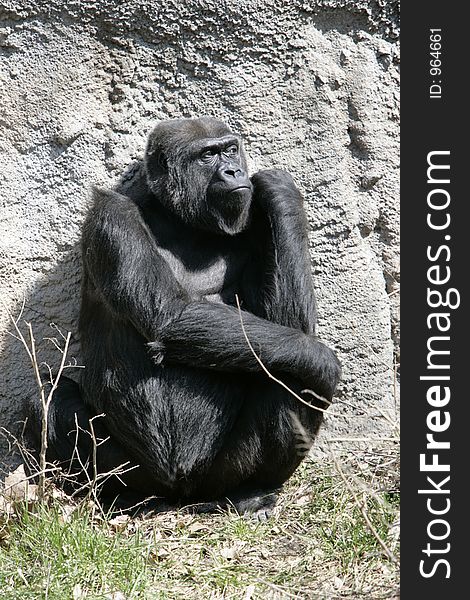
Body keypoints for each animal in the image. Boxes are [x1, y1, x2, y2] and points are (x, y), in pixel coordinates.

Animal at [27, 117, 340, 516]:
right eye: (207, 155)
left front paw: (279, 190)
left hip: (215, 476)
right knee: (42, 397)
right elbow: (171, 316)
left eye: (230, 149)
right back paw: (118, 495)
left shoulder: (249, 222)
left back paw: (250, 491)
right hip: (136, 472)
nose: (233, 170)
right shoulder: (111, 214)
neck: (178, 219)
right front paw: (324, 359)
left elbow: (292, 325)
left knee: (288, 371)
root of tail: (180, 495)